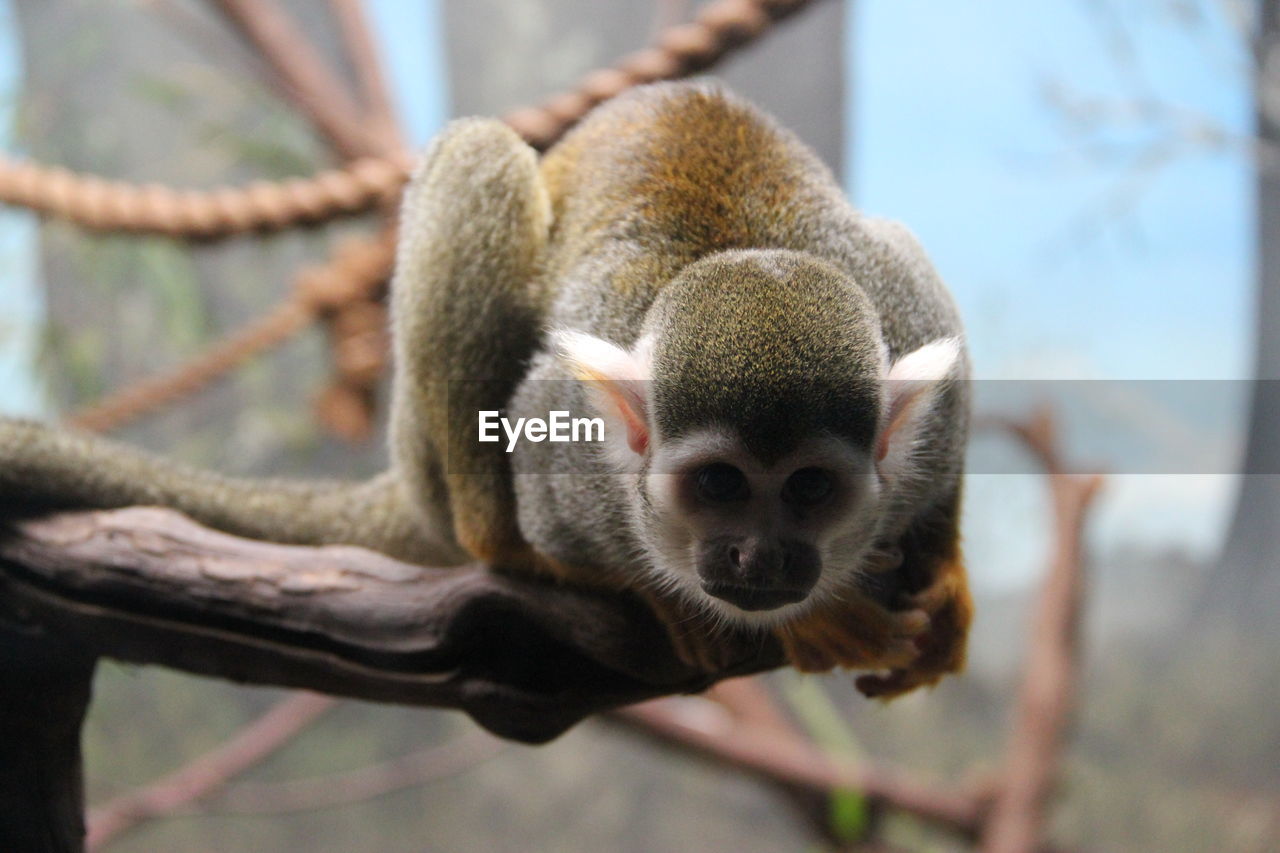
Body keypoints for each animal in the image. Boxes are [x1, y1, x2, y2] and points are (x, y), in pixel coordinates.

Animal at [0, 79, 967, 696]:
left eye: (809, 489)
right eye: (719, 485)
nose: (760, 561)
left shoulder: (910, 310)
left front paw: (944, 578)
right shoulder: (573, 454)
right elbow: (556, 466)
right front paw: (741, 608)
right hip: (426, 447)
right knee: (484, 157)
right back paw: (503, 546)